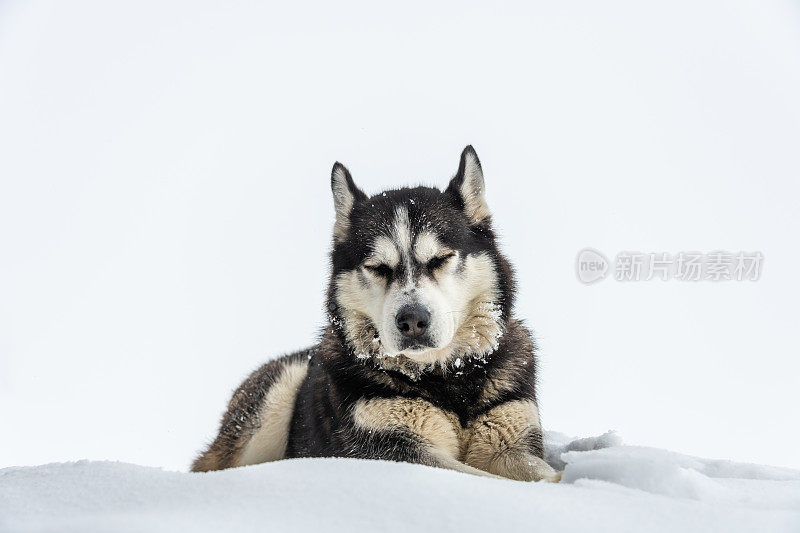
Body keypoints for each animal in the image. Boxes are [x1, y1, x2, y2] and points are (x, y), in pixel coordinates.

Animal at [191, 147, 560, 482]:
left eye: (440, 259)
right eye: (378, 268)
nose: (412, 320)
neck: (446, 379)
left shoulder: (509, 441)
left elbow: (541, 474)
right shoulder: (398, 448)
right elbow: (486, 478)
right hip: (276, 397)